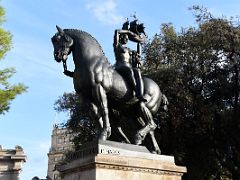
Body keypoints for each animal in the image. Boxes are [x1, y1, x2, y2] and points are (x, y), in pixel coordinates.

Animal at [50, 26, 167, 154]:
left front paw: (104, 134)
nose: (57, 56)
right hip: (132, 113)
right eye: (53, 40)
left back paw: (138, 137)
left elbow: (104, 110)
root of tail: (159, 90)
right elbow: (95, 114)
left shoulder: (98, 89)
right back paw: (151, 148)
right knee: (150, 129)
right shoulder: (84, 96)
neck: (90, 62)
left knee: (152, 124)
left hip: (145, 105)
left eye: (61, 39)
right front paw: (100, 135)